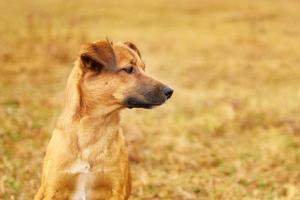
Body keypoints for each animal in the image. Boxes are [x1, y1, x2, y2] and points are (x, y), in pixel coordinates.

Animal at [34, 39, 173, 200]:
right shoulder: (53, 189)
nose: (170, 91)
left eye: (144, 68)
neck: (93, 129)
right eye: (129, 69)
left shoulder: (115, 189)